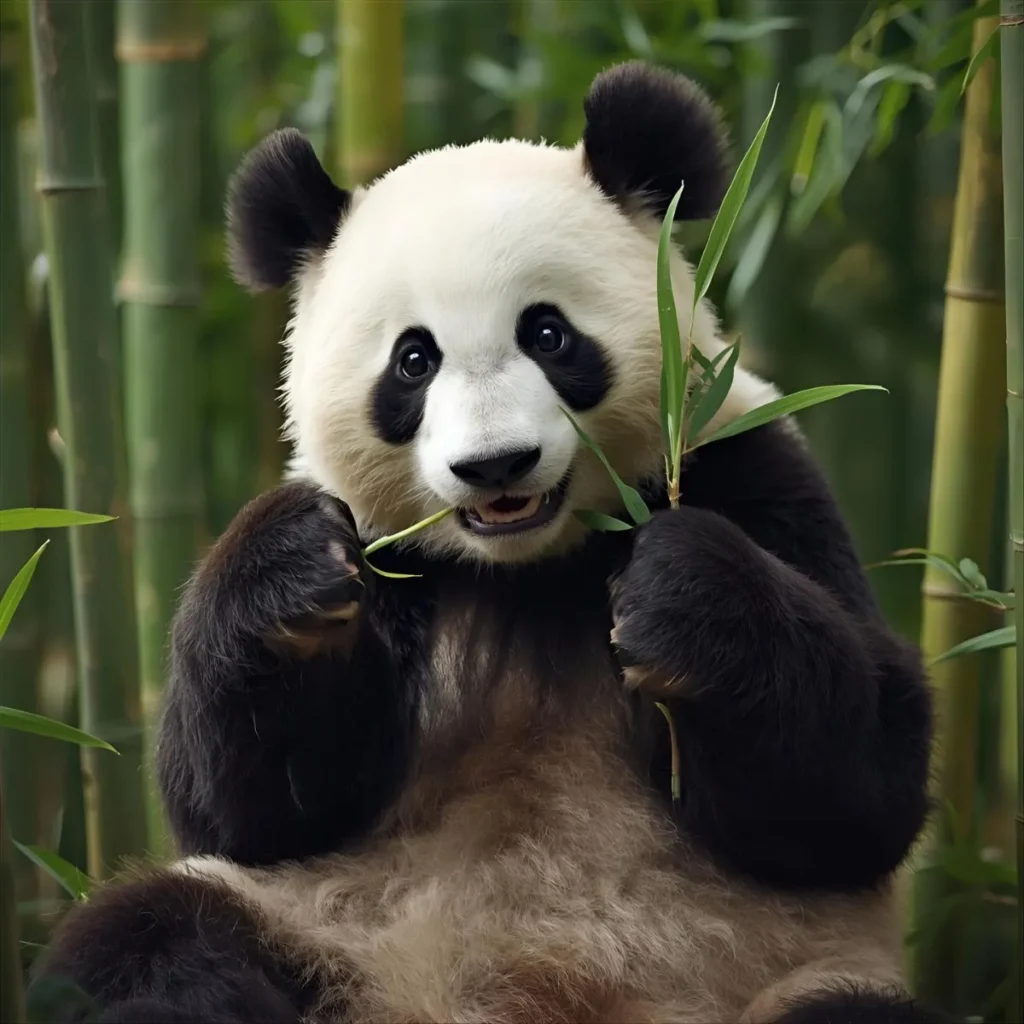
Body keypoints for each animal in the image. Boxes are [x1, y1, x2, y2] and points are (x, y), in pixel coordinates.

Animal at [34, 61, 947, 1024]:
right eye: (413, 360)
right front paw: (289, 574)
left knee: (849, 1010)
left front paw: (680, 593)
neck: (528, 568)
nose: (495, 464)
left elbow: (864, 785)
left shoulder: (746, 466)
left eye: (547, 333)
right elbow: (244, 810)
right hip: (327, 938)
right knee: (151, 938)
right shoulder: (392, 557)